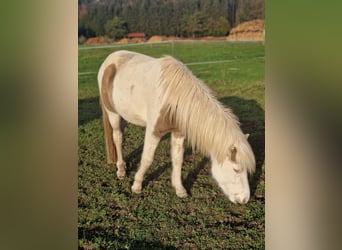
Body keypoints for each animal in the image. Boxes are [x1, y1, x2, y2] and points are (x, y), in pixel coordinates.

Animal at [97, 49, 255, 204]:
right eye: (236, 169)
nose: (244, 199)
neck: (172, 97)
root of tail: (110, 59)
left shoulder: (179, 132)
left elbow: (178, 160)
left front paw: (180, 189)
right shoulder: (154, 131)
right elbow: (147, 159)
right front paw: (136, 185)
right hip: (113, 113)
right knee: (117, 138)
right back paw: (121, 170)